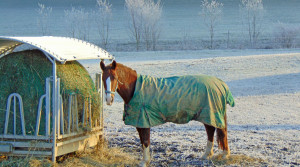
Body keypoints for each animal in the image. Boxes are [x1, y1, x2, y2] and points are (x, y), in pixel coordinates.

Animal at [99, 60, 236, 166]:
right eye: (102, 78)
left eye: (114, 78)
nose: (109, 100)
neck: (135, 89)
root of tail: (220, 83)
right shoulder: (139, 122)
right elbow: (142, 142)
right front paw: (145, 160)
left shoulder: (144, 121)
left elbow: (145, 141)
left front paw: (145, 162)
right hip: (206, 115)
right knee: (210, 131)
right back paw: (206, 155)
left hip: (211, 114)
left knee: (221, 131)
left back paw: (224, 155)